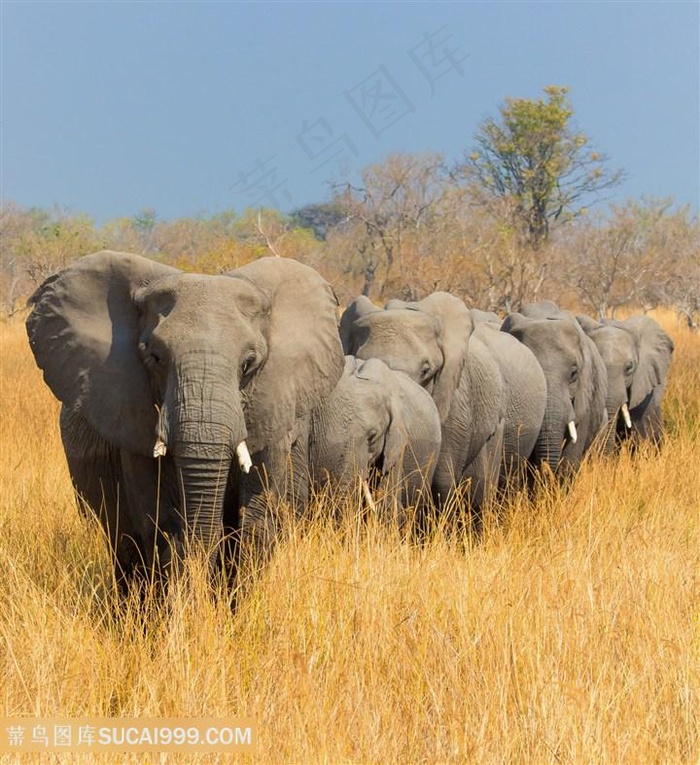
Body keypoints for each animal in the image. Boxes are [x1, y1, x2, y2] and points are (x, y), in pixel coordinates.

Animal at [26, 248, 344, 588]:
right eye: (154, 357)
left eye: (249, 363)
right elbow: (158, 521)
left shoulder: (273, 406)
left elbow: (257, 519)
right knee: (123, 543)